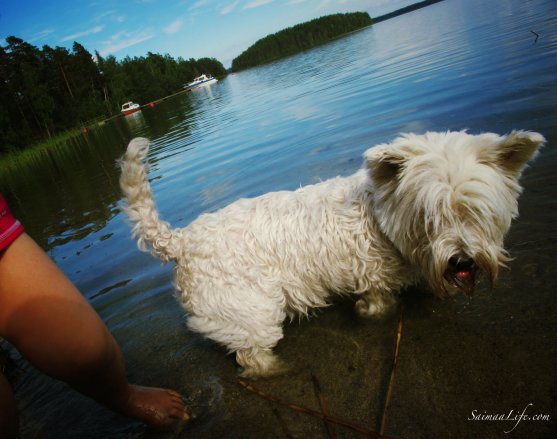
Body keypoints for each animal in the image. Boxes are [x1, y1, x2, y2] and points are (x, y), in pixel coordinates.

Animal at [118, 130, 544, 378]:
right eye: (429, 216)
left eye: (476, 212)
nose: (462, 262)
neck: (380, 216)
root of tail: (181, 241)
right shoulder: (372, 279)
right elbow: (377, 305)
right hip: (251, 313)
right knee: (252, 357)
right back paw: (281, 368)